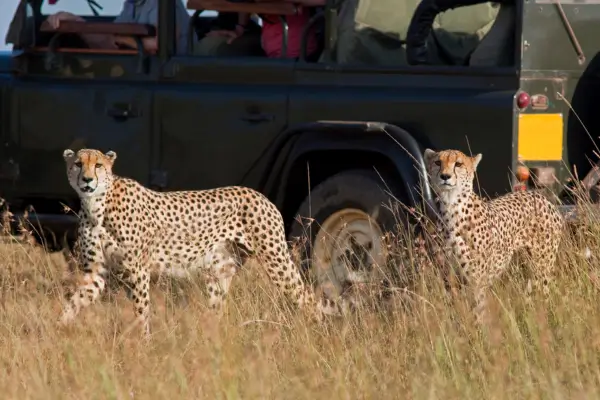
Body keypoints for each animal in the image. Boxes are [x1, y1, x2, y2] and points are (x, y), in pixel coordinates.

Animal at [61, 148, 344, 336]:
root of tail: (260, 195)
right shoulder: (95, 273)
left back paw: (318, 335)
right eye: (78, 164)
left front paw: (143, 343)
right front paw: (57, 328)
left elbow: (141, 310)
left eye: (98, 165)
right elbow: (74, 301)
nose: (87, 179)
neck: (97, 205)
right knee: (217, 311)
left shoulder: (138, 270)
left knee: (306, 297)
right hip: (219, 272)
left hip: (276, 262)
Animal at [422, 148, 564, 324]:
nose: (445, 176)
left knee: (543, 295)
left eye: (458, 164)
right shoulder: (448, 280)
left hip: (542, 266)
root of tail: (541, 197)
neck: (451, 206)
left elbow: (477, 312)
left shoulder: (476, 282)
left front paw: (477, 331)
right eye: (437, 162)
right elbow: (454, 313)